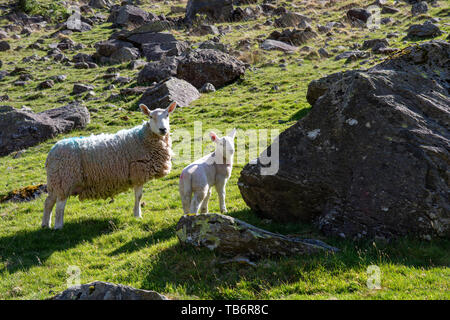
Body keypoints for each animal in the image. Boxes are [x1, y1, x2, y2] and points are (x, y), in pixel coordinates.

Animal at [41, 101, 177, 229]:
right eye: (150, 116)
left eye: (167, 115)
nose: (163, 129)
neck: (143, 139)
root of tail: (51, 153)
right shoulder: (138, 173)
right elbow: (138, 196)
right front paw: (138, 216)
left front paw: (136, 214)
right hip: (65, 178)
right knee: (60, 205)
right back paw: (58, 226)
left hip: (55, 181)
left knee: (48, 202)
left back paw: (45, 225)